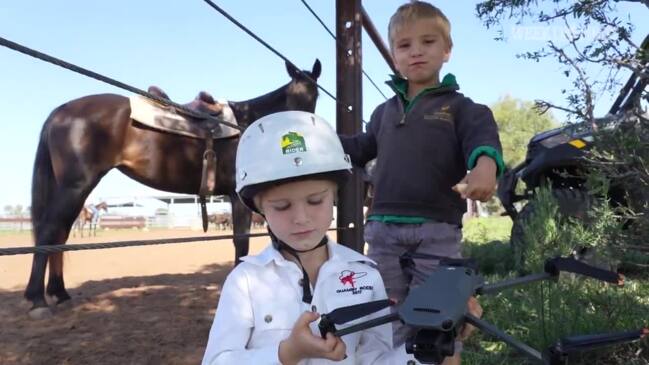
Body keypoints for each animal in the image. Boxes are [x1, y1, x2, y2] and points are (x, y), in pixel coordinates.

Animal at [27, 59, 322, 316]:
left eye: (314, 96)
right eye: (295, 96)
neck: (248, 124)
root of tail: (61, 112)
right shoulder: (237, 197)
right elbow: (241, 241)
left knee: (60, 232)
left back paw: (59, 293)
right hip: (75, 185)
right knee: (50, 230)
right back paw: (37, 299)